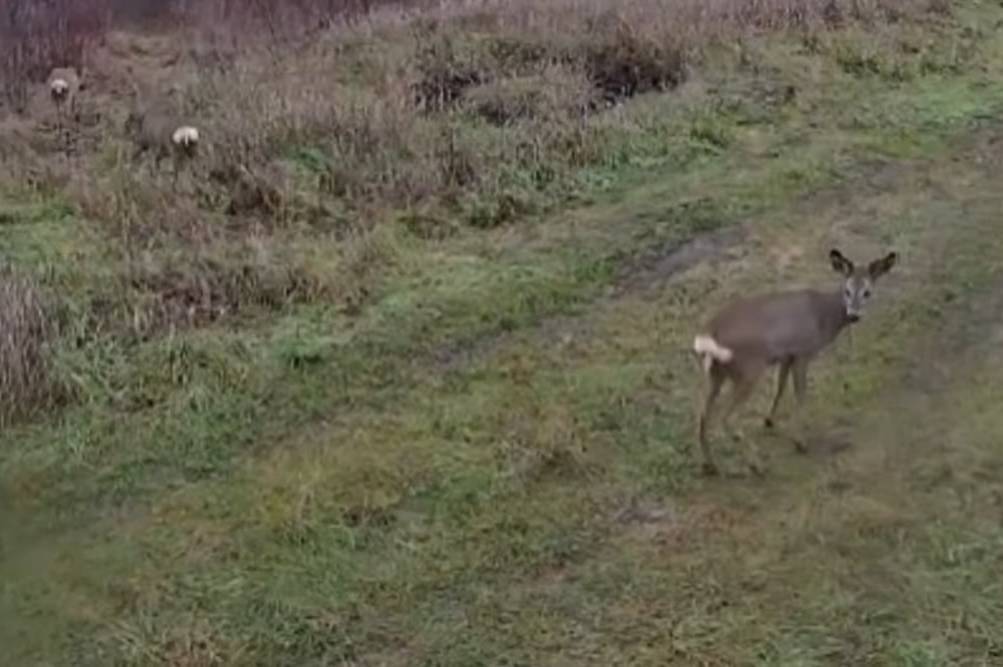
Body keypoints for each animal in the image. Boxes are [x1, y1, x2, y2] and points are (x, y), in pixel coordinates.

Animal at [694, 248, 898, 473]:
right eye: (847, 290)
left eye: (867, 292)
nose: (853, 315)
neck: (824, 317)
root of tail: (708, 336)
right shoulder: (802, 352)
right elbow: (801, 395)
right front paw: (800, 442)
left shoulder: (786, 355)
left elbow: (780, 387)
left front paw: (769, 420)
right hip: (749, 370)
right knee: (727, 418)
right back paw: (756, 464)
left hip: (716, 374)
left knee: (702, 416)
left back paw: (710, 464)